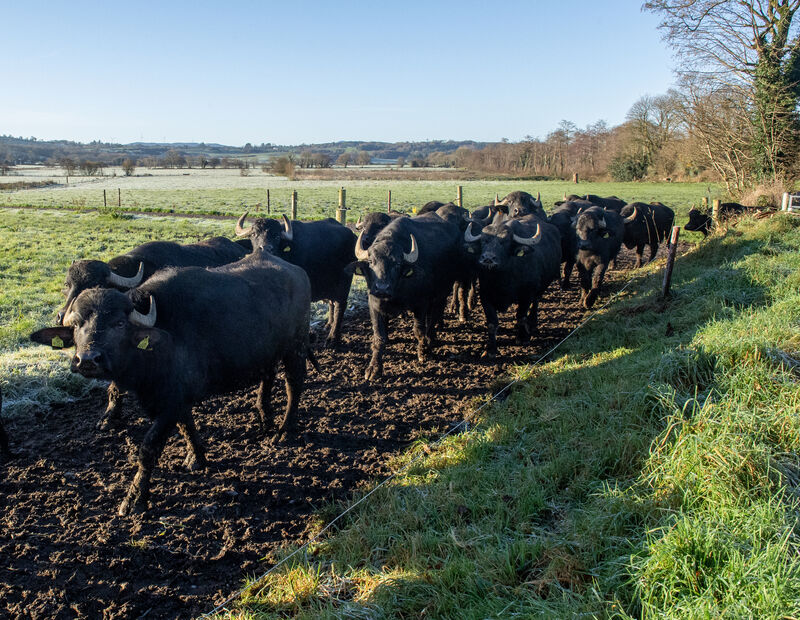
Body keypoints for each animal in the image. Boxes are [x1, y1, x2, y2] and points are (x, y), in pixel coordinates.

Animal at [31, 250, 314, 515]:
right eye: (77, 324)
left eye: (119, 323)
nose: (88, 359)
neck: (158, 344)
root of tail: (297, 271)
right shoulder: (177, 398)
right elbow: (187, 426)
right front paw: (196, 457)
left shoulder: (169, 405)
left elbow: (148, 449)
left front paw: (135, 500)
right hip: (267, 353)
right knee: (268, 378)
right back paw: (265, 419)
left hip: (296, 347)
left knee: (294, 384)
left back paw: (285, 430)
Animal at [236, 213, 356, 345]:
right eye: (253, 234)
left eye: (276, 236)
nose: (266, 248)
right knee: (332, 302)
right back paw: (328, 324)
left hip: (344, 281)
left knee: (340, 305)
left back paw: (333, 338)